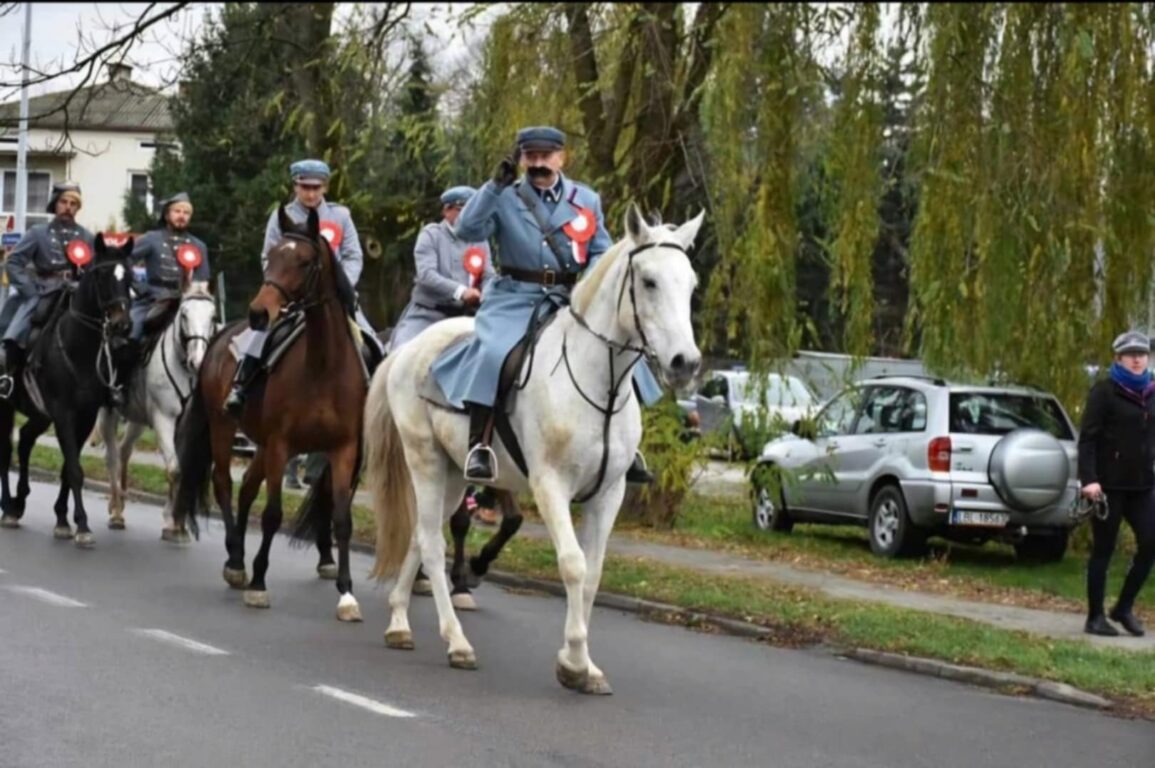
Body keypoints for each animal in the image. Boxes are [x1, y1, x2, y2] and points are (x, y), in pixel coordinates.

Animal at [0, 233, 133, 545]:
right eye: (101, 276)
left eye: (129, 277)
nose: (122, 324)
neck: (78, 347)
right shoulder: (63, 414)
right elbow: (74, 468)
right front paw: (82, 525)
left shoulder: (84, 417)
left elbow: (67, 469)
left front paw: (62, 519)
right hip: (6, 407)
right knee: (6, 451)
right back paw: (9, 507)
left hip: (39, 414)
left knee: (25, 440)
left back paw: (18, 502)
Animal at [100, 280, 217, 538]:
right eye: (184, 314)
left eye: (212, 317)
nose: (197, 360)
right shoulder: (164, 419)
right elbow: (174, 469)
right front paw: (173, 523)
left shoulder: (186, 425)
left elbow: (183, 468)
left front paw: (176, 521)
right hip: (108, 413)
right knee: (112, 456)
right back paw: (116, 512)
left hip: (137, 419)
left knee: (124, 450)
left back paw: (119, 504)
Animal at [172, 205, 364, 623]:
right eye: (273, 256)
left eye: (304, 261)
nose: (259, 312)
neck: (323, 366)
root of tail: (221, 333)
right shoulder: (281, 445)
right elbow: (273, 514)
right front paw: (259, 581)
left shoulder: (343, 449)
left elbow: (342, 518)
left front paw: (346, 592)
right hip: (224, 427)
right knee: (224, 483)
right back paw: (236, 560)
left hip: (257, 441)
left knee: (245, 487)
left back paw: (239, 557)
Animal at [364, 206, 702, 692]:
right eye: (650, 281)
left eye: (691, 284)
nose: (685, 364)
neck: (597, 380)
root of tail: (409, 347)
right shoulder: (550, 486)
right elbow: (574, 565)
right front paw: (574, 662)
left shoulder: (609, 493)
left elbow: (594, 574)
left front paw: (584, 664)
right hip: (424, 461)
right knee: (429, 541)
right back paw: (457, 642)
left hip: (453, 475)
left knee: (419, 536)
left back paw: (398, 622)